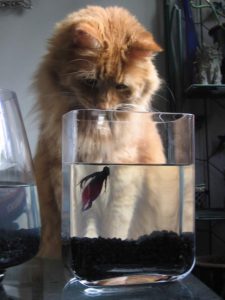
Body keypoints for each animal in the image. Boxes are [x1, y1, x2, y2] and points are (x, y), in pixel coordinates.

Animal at [33, 5, 164, 258]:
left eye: (121, 87)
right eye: (91, 81)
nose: (103, 107)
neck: (95, 135)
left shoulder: (124, 182)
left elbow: (115, 226)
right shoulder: (59, 174)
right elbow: (77, 224)